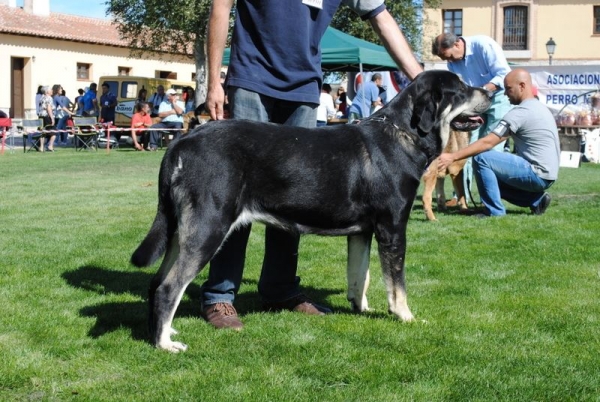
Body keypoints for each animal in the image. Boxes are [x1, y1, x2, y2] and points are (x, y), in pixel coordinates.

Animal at [132, 70, 492, 352]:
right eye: (461, 89)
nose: (490, 91)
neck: (402, 134)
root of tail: (182, 141)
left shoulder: (363, 232)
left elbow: (359, 276)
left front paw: (361, 309)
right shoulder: (392, 227)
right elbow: (396, 283)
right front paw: (406, 316)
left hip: (180, 230)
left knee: (157, 283)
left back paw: (161, 331)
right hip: (209, 226)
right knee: (169, 287)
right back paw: (165, 344)